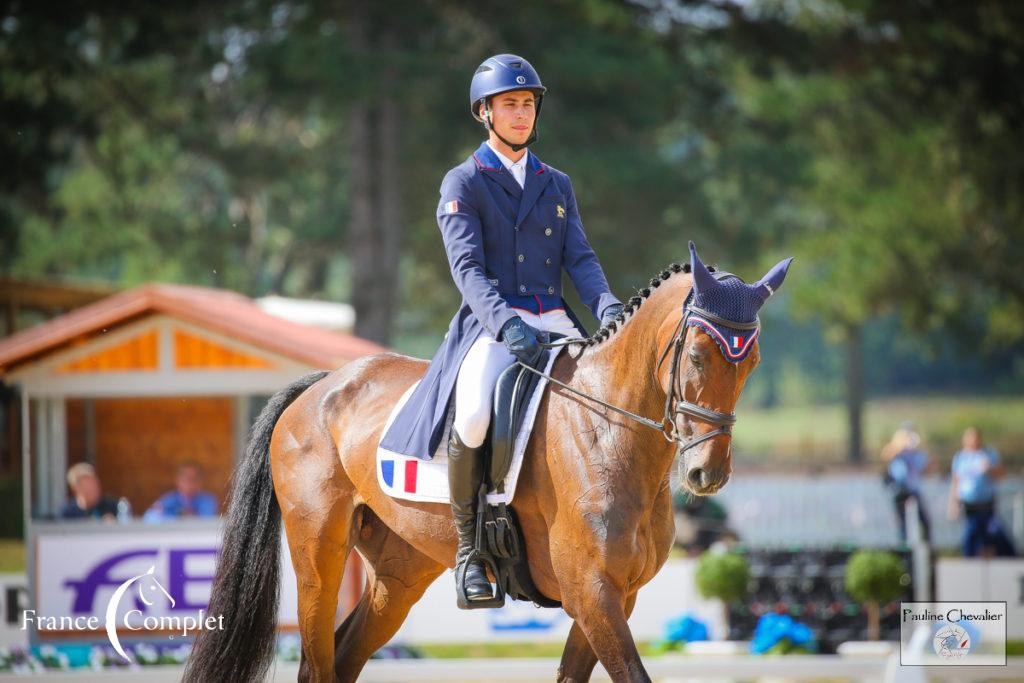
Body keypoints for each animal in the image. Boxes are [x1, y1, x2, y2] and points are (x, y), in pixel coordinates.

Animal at [184, 242, 790, 679]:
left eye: (754, 361)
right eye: (696, 355)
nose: (707, 473)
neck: (607, 432)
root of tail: (322, 386)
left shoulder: (616, 596)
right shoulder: (592, 593)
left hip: (399, 571)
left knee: (345, 654)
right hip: (318, 555)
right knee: (317, 658)